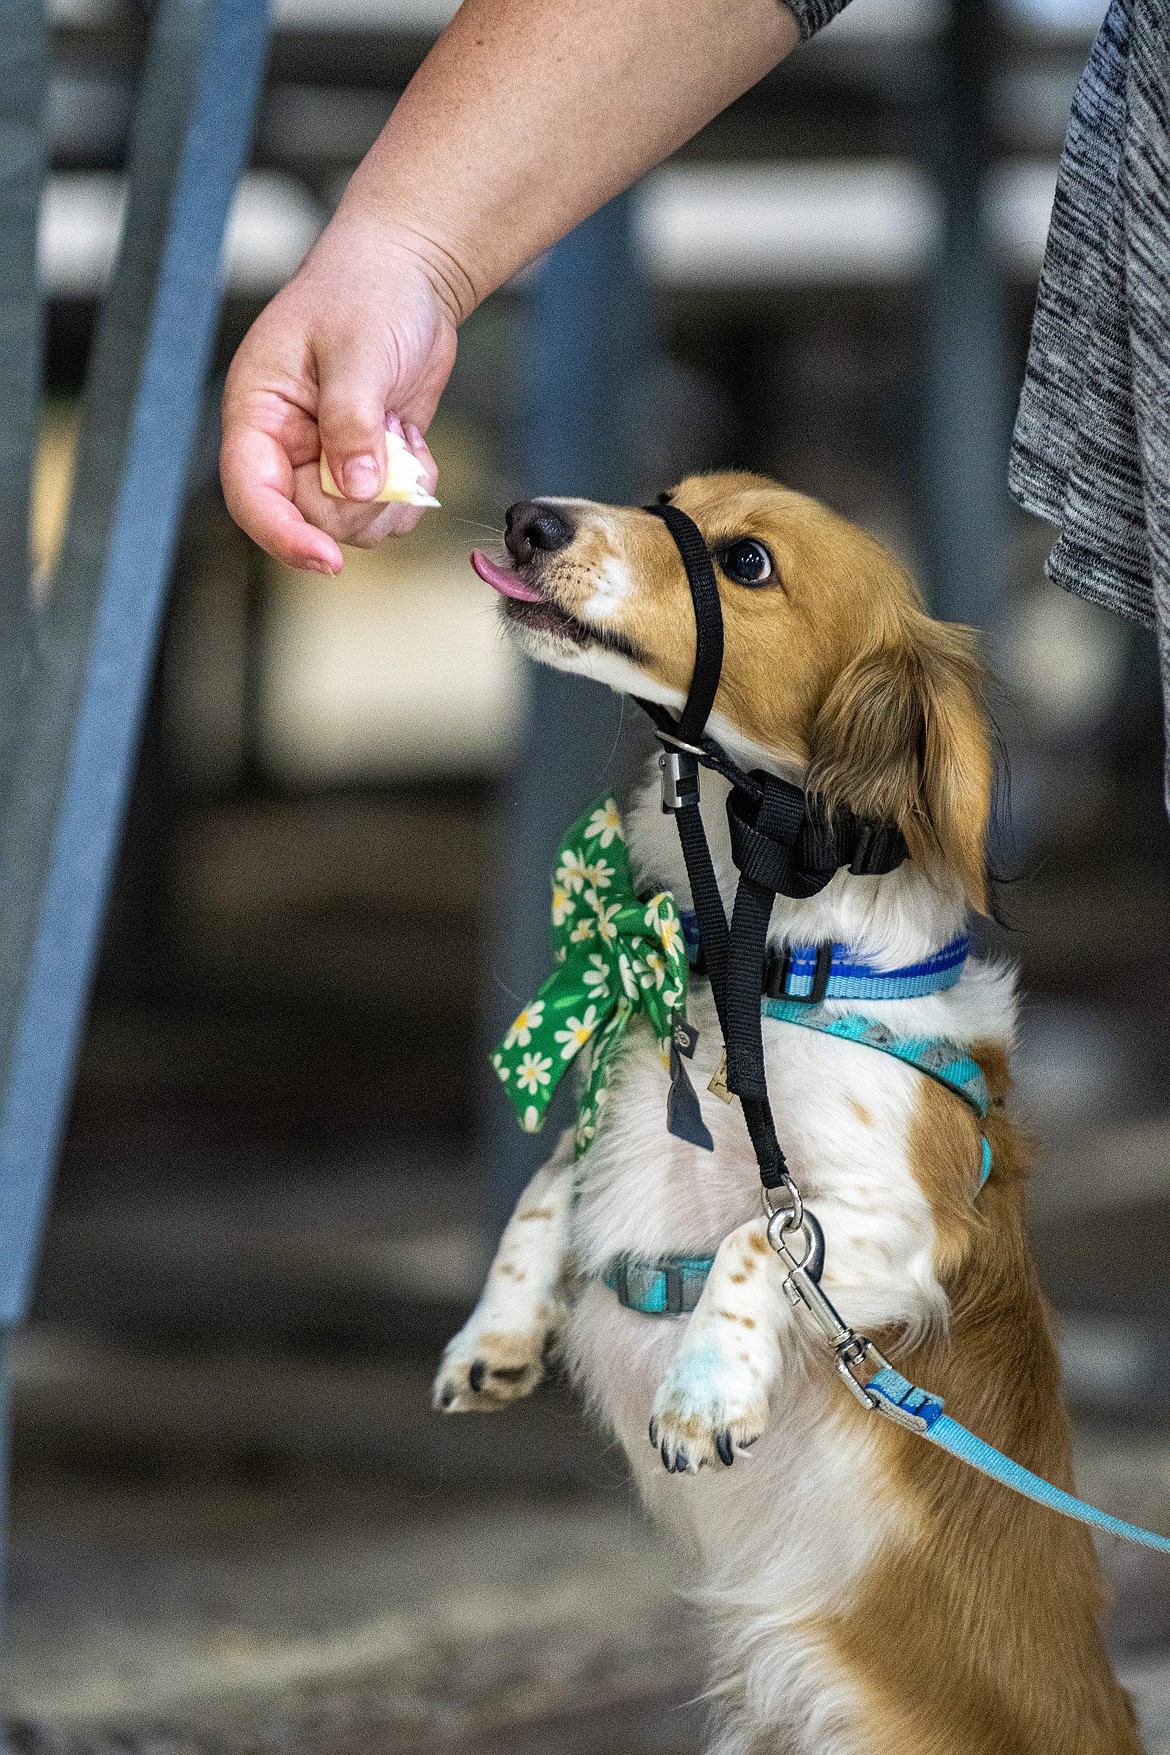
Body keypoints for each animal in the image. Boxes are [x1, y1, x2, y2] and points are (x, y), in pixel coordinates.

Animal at [435, 473, 1136, 1747]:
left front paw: (704, 1391)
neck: (752, 968)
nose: (528, 520)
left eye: (747, 563)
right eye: (664, 498)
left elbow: (757, 1237)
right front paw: (494, 1335)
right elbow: (549, 1186)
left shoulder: (902, 1226)